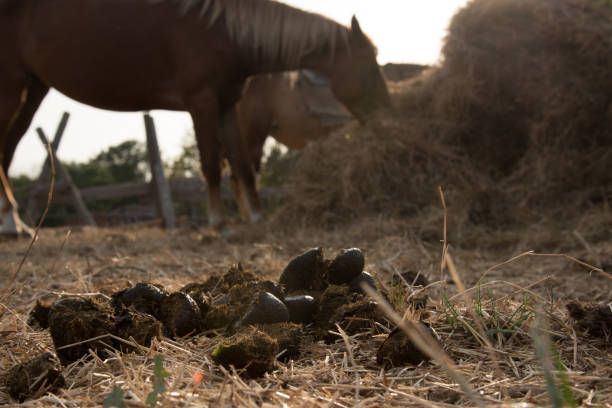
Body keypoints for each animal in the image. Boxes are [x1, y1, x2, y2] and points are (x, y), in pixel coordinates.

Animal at [0, 0, 390, 236]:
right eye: (370, 63)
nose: (386, 109)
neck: (224, 30)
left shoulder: (227, 105)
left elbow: (242, 167)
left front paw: (257, 218)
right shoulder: (201, 102)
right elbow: (211, 165)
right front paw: (219, 223)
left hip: (34, 88)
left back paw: (14, 222)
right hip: (13, 87)